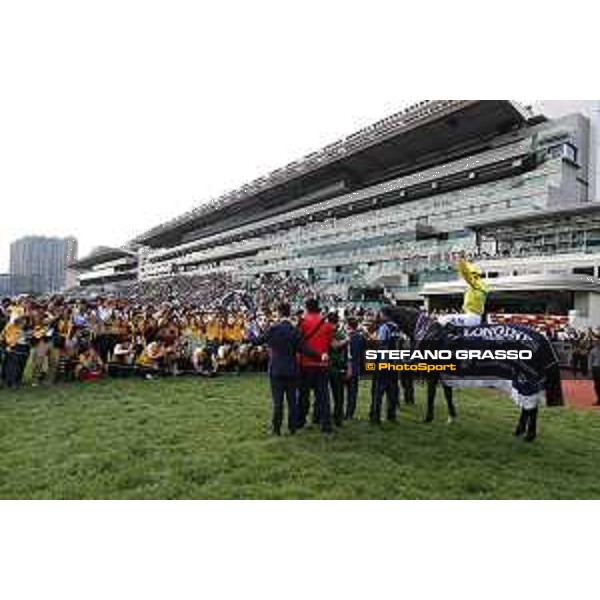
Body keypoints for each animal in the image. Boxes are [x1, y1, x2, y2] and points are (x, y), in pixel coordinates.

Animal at [382, 304, 564, 440]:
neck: (428, 332)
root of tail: (542, 338)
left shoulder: (433, 373)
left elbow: (431, 395)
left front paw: (428, 418)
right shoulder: (445, 374)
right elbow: (448, 395)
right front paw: (451, 417)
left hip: (526, 380)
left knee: (530, 407)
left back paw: (528, 435)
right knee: (528, 407)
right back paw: (520, 431)